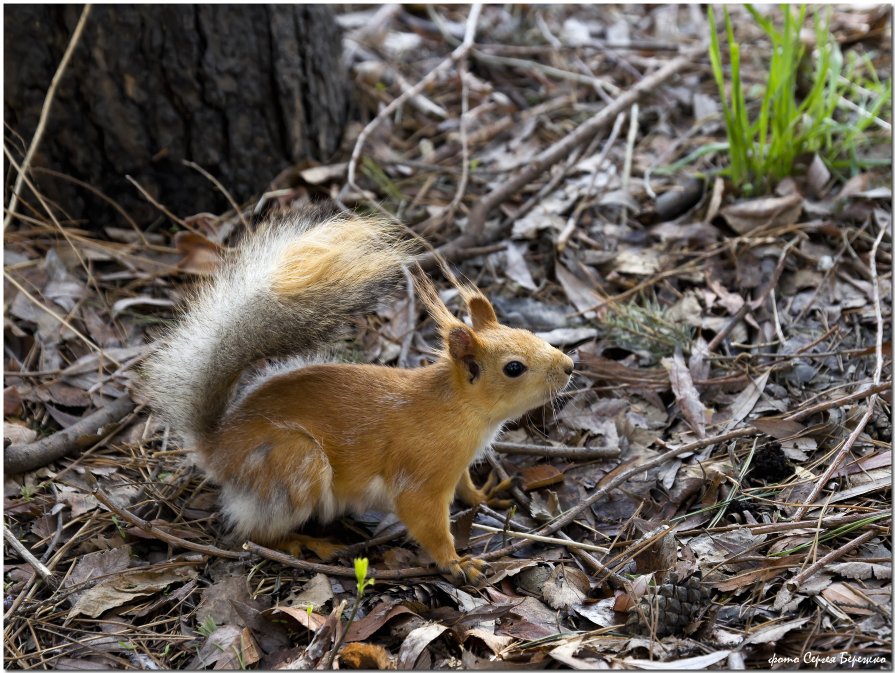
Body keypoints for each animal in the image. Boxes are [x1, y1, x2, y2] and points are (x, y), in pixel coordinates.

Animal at [140, 207, 576, 584]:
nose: (569, 366)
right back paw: (305, 542)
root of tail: (216, 449)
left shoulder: (459, 466)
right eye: (514, 368)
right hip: (294, 463)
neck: (458, 411)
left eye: (528, 332)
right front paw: (455, 562)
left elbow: (467, 486)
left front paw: (486, 494)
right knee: (251, 533)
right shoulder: (420, 474)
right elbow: (426, 521)